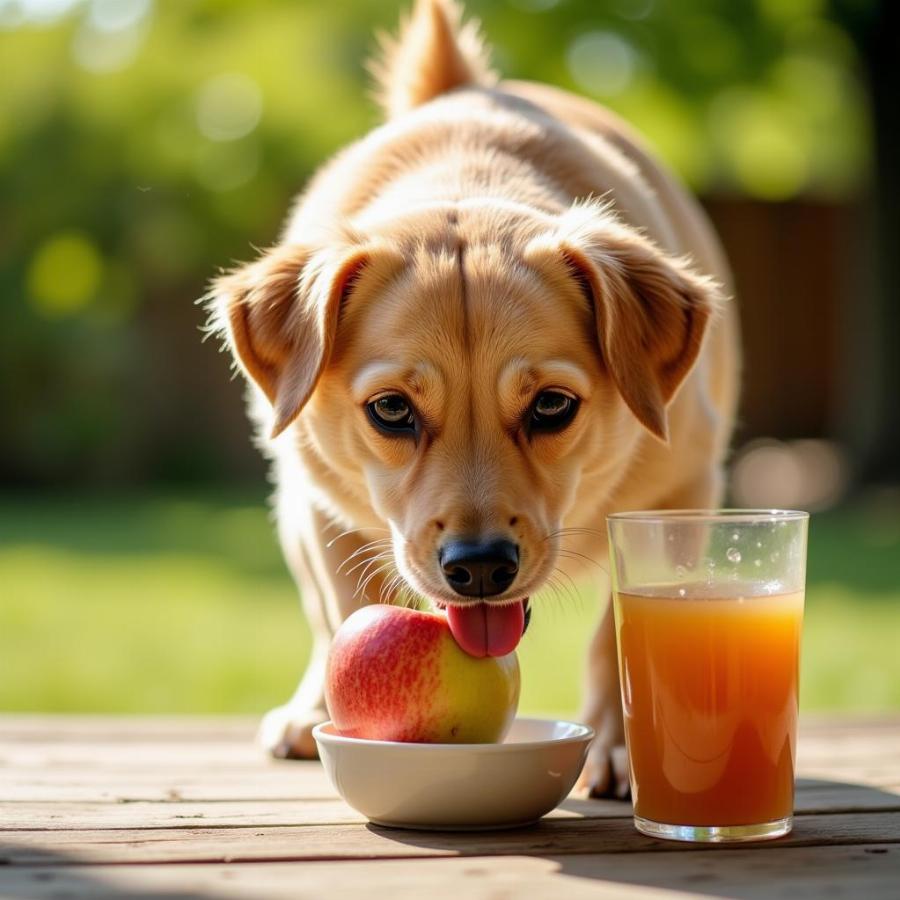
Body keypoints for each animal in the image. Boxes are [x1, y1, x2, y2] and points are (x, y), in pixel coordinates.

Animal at [209, 0, 740, 800]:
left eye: (551, 405)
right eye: (391, 410)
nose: (481, 568)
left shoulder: (680, 494)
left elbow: (617, 633)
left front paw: (620, 746)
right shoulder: (321, 506)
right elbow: (341, 610)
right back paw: (305, 713)